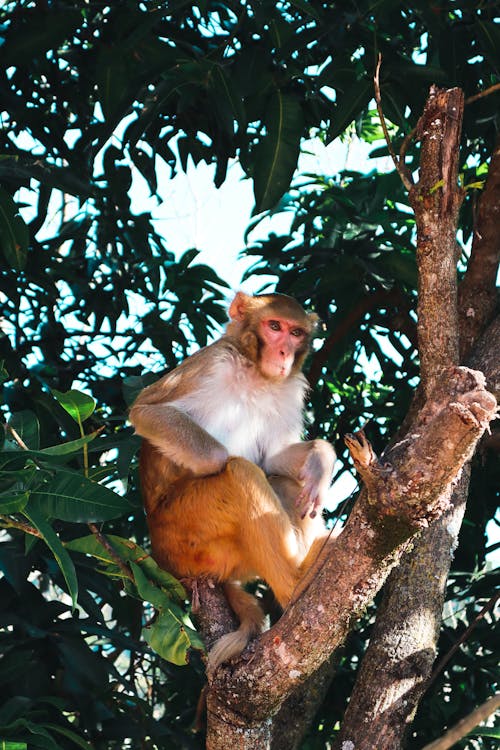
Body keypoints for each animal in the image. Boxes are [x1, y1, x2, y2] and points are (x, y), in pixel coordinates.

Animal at [129, 292, 336, 668]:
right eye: (274, 326)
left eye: (296, 332)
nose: (283, 354)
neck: (255, 373)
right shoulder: (213, 361)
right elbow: (148, 411)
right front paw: (221, 458)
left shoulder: (289, 389)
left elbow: (275, 457)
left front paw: (321, 457)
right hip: (183, 535)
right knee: (240, 475)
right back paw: (297, 582)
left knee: (286, 482)